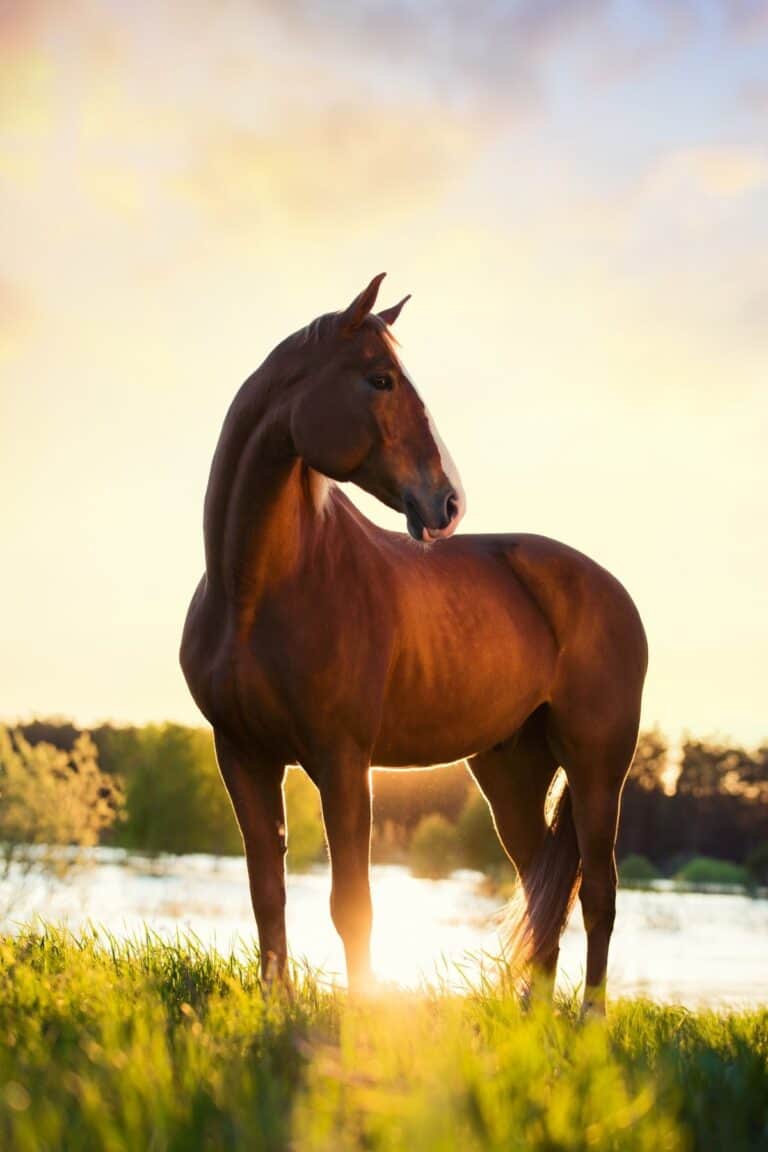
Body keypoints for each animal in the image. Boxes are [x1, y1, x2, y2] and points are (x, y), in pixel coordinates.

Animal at [180, 273, 648, 1015]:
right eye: (380, 379)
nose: (448, 504)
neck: (258, 590)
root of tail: (612, 591)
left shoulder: (342, 761)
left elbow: (352, 904)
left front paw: (361, 1015)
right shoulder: (243, 755)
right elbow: (267, 893)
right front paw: (277, 1007)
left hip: (599, 767)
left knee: (598, 893)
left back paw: (589, 1020)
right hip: (512, 773)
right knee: (542, 885)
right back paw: (533, 1019)